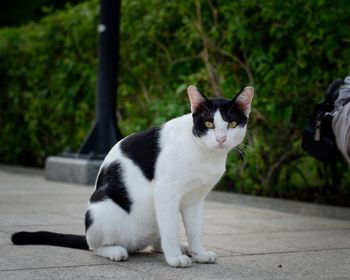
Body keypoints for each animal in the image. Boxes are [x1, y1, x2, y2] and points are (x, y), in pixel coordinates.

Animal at [11, 85, 254, 266]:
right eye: (209, 123)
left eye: (232, 123)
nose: (221, 139)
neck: (204, 152)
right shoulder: (166, 193)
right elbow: (171, 229)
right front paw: (175, 258)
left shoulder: (194, 200)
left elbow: (195, 230)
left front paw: (199, 253)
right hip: (101, 208)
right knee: (94, 246)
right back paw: (115, 251)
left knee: (156, 240)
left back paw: (180, 248)